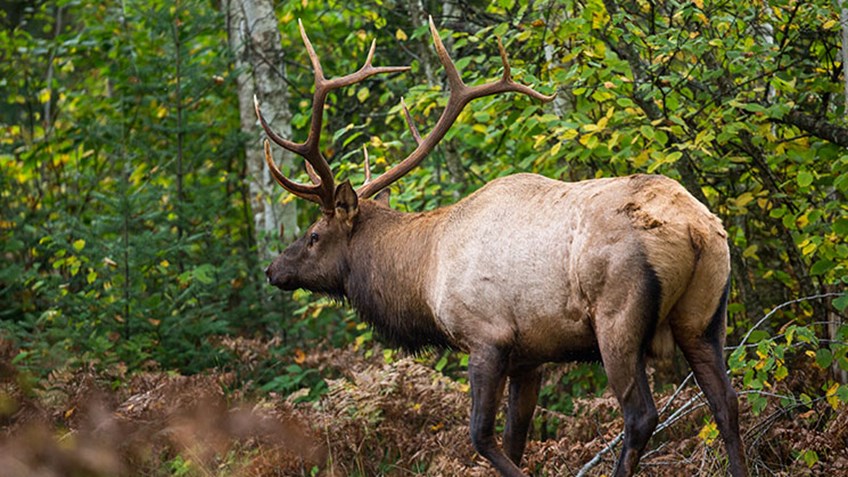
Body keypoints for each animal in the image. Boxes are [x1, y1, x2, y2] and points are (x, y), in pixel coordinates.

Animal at [255, 16, 744, 474]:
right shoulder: (531, 355)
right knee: (727, 403)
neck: (423, 276)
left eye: (314, 236)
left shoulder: (486, 337)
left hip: (617, 317)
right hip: (705, 317)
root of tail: (696, 230)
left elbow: (482, 437)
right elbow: (516, 439)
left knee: (641, 416)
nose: (273, 269)